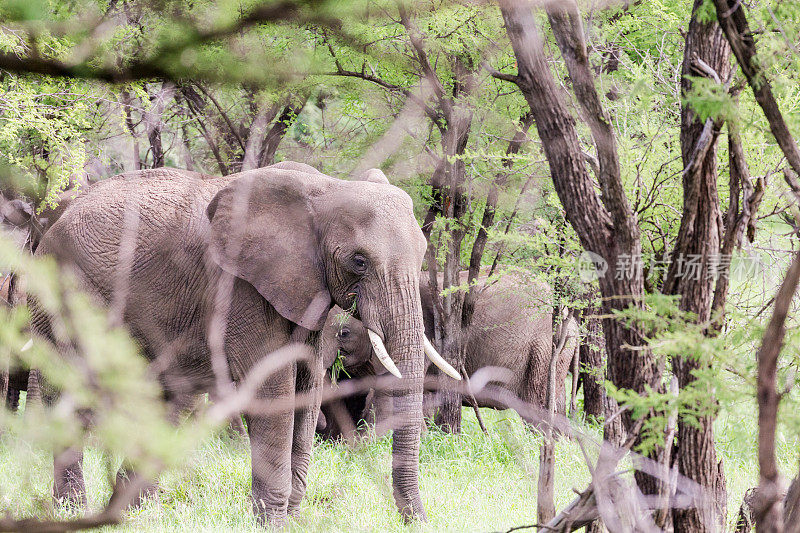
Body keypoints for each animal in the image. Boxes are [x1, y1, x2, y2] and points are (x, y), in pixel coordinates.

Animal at [29, 161, 456, 524]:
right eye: (359, 261)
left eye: (422, 253)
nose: (416, 522)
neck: (327, 188)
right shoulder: (239, 288)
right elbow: (275, 389)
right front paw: (273, 524)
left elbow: (307, 387)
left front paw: (292, 521)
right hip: (64, 292)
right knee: (71, 393)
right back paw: (74, 511)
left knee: (167, 399)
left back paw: (133, 512)